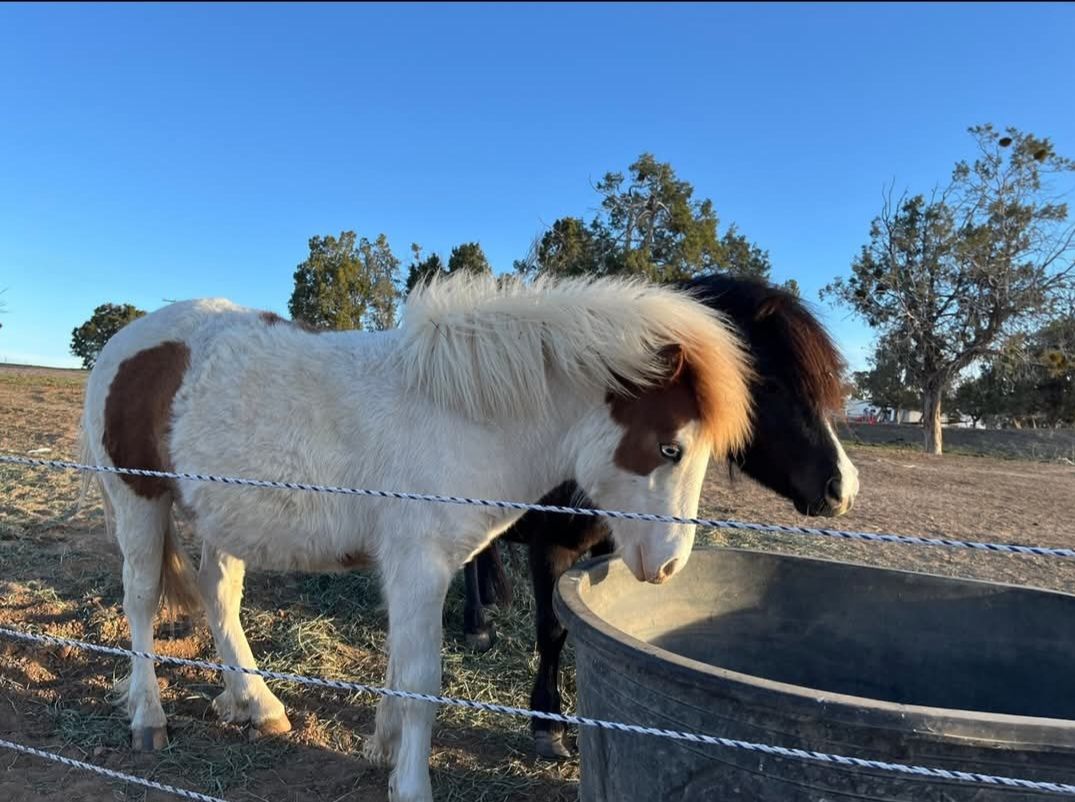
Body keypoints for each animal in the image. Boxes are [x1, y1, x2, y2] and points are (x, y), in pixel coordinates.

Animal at [79, 273, 755, 802]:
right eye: (670, 448)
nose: (667, 566)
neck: (459, 415)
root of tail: (123, 344)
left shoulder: (419, 570)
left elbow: (401, 667)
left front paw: (382, 745)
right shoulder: (419, 565)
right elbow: (423, 681)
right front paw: (411, 784)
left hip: (225, 515)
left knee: (219, 596)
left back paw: (255, 702)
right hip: (140, 501)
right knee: (140, 600)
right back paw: (148, 717)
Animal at [460, 273, 859, 759]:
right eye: (770, 385)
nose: (843, 487)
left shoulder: (610, 545)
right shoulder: (550, 546)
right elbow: (552, 630)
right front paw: (548, 724)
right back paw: (476, 626)